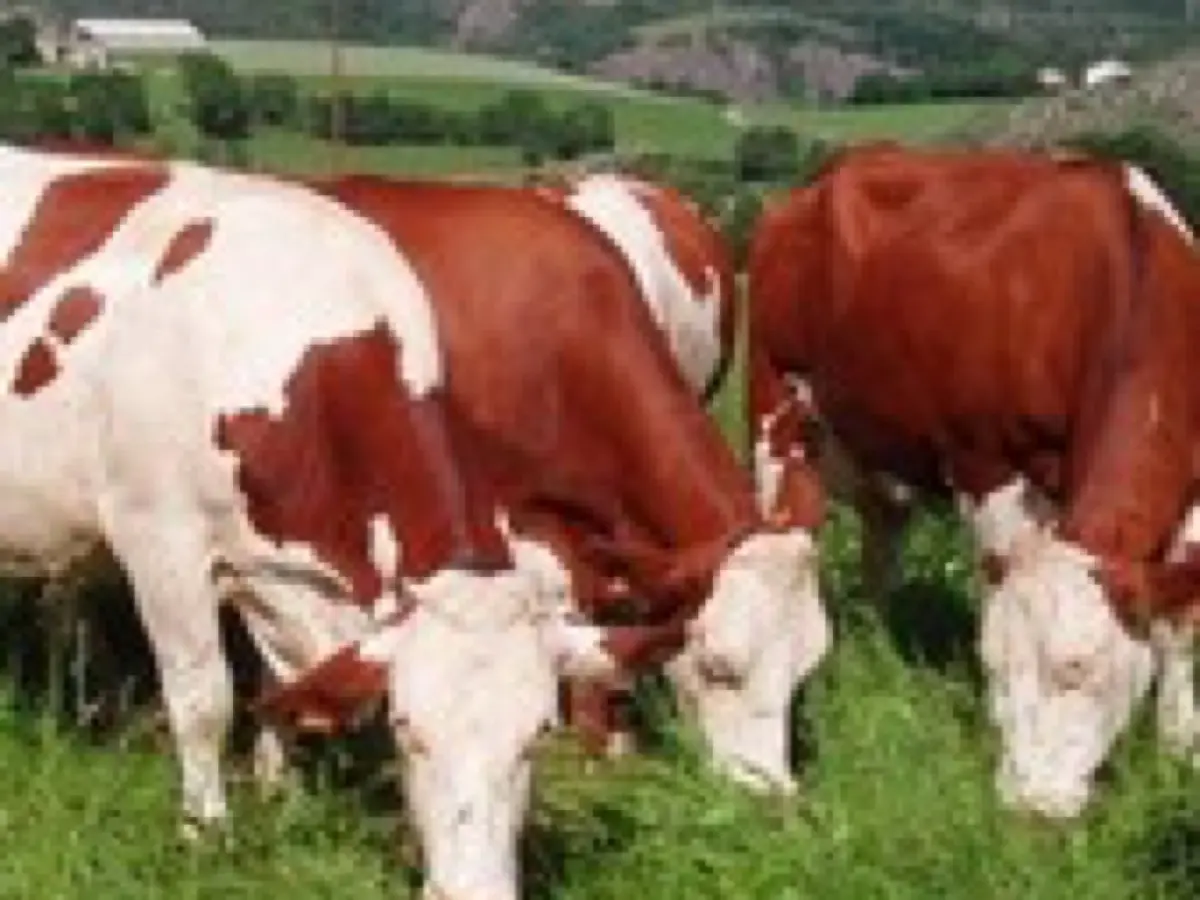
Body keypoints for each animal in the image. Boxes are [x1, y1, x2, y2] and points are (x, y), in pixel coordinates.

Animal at [0, 144, 615, 900]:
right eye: (407, 728)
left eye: (538, 733)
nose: (474, 893)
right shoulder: (161, 541)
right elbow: (204, 699)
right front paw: (207, 832)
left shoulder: (275, 571)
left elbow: (280, 687)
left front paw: (279, 792)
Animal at [748, 144, 1200, 818]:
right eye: (1001, 664)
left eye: (1077, 669)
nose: (1030, 810)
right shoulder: (986, 463)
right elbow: (996, 594)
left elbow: (1179, 622)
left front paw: (1179, 749)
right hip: (773, 406)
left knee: (881, 546)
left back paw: (878, 648)